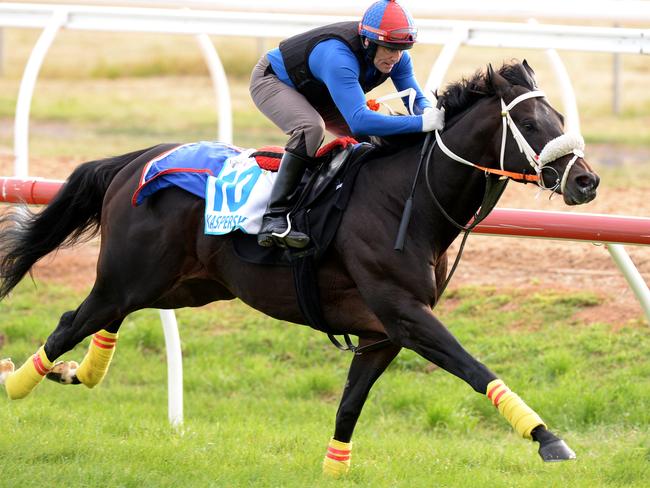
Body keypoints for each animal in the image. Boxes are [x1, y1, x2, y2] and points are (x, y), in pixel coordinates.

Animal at [0, 61, 596, 476]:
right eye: (528, 121)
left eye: (561, 118)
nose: (586, 181)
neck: (406, 199)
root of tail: (135, 161)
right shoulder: (405, 314)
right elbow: (474, 367)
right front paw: (547, 438)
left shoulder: (382, 333)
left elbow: (350, 406)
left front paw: (335, 469)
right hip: (130, 277)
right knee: (71, 321)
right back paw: (17, 382)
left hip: (185, 285)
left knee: (108, 318)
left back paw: (76, 372)